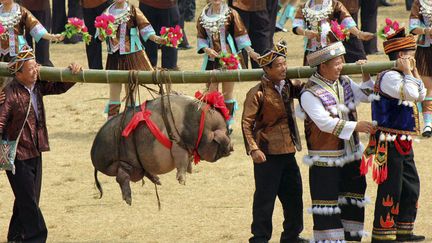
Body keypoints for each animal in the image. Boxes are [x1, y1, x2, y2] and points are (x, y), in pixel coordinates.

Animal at [90, 93, 233, 205]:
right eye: (227, 133)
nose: (232, 148)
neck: (202, 128)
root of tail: (93, 155)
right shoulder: (177, 145)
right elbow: (181, 162)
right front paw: (182, 182)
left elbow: (187, 161)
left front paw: (190, 171)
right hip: (121, 162)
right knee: (121, 177)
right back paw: (129, 201)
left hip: (136, 165)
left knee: (142, 173)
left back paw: (158, 182)